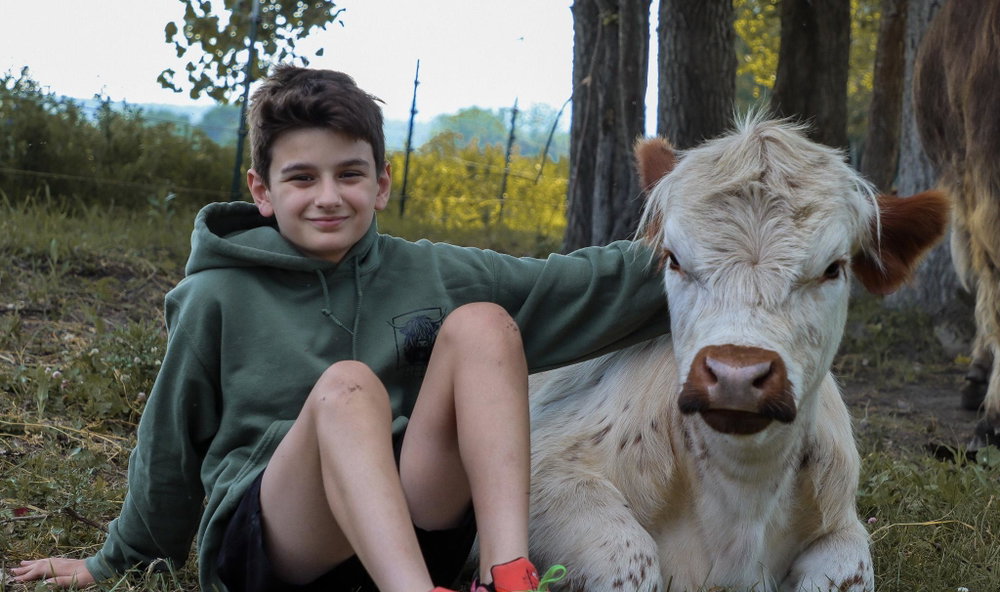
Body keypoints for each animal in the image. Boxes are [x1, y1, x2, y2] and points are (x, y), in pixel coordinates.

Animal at [526, 116, 948, 592]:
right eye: (674, 259)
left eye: (833, 268)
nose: (735, 374)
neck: (742, 502)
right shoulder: (551, 474)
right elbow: (629, 555)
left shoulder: (843, 525)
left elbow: (849, 566)